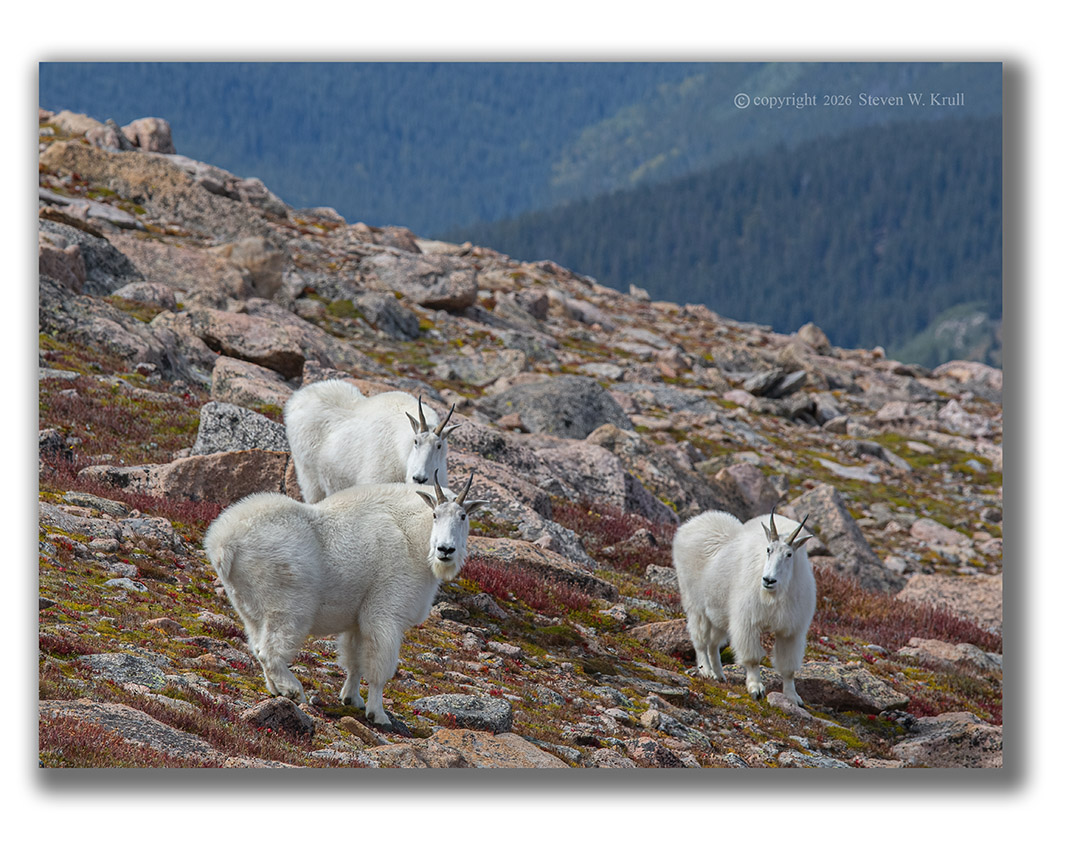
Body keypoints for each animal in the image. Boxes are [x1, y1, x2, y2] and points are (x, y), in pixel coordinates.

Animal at [203, 471, 486, 724]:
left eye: (463, 516)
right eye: (435, 515)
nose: (445, 550)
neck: (411, 535)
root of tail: (222, 545)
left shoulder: (358, 618)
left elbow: (354, 660)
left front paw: (352, 699)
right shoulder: (385, 614)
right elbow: (378, 668)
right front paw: (378, 714)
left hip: (249, 609)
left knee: (257, 646)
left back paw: (276, 690)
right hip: (287, 608)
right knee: (269, 652)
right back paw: (293, 690)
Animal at [671, 510, 816, 706]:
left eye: (789, 554)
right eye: (768, 550)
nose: (768, 580)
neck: (776, 594)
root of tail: (691, 524)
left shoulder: (791, 631)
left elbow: (788, 668)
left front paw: (793, 697)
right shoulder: (748, 622)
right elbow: (752, 659)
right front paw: (756, 689)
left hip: (719, 614)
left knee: (714, 644)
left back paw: (719, 675)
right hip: (695, 605)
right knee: (700, 640)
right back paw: (706, 671)